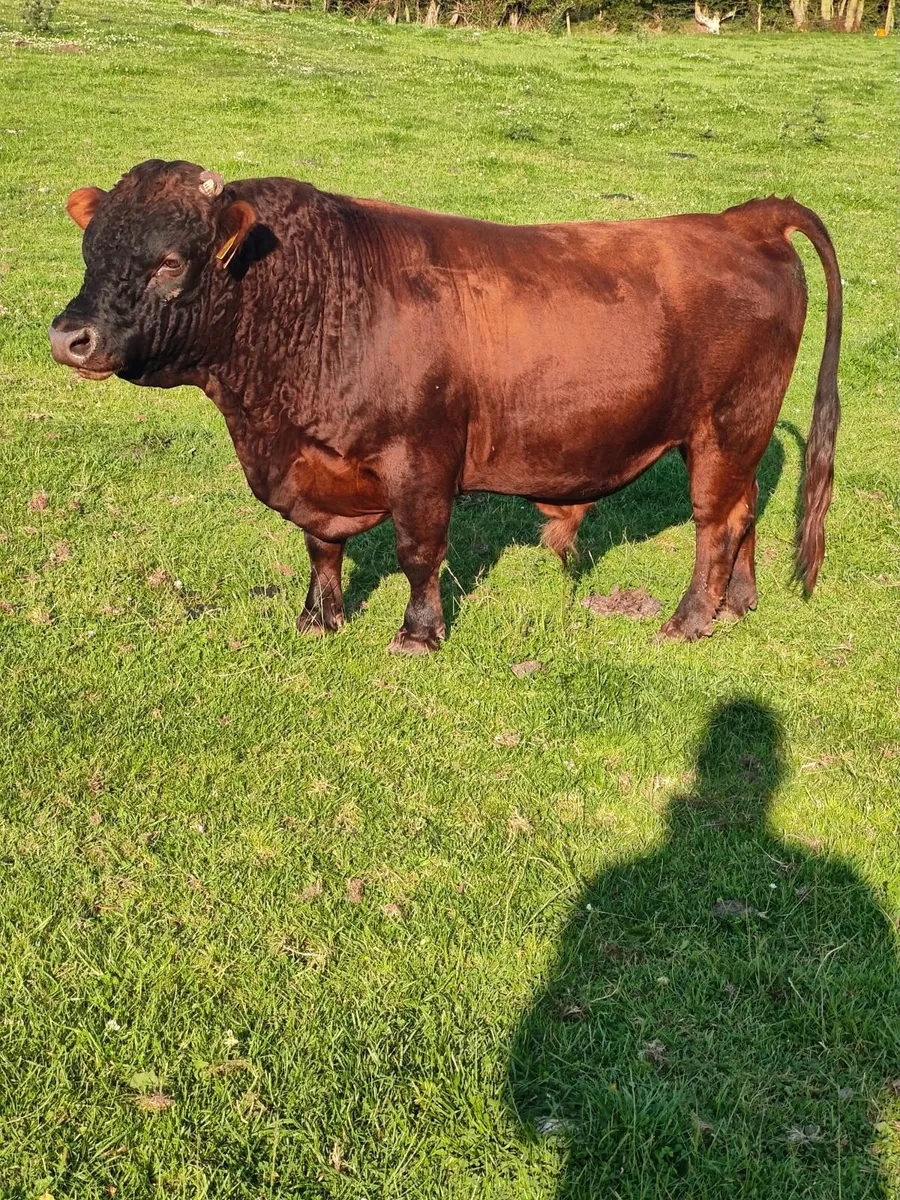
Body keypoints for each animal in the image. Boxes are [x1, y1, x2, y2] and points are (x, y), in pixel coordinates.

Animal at [49, 160, 841, 654]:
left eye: (170, 261)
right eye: (90, 250)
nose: (69, 337)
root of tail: (744, 219)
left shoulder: (421, 460)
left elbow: (418, 551)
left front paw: (418, 633)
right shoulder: (311, 468)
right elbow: (321, 546)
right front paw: (318, 619)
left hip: (724, 428)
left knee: (715, 524)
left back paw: (690, 619)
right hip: (739, 436)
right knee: (744, 513)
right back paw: (738, 603)